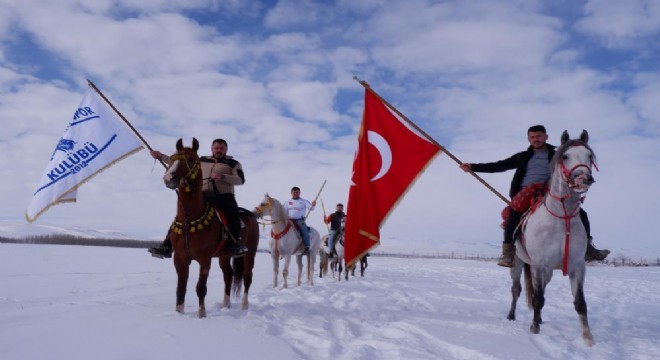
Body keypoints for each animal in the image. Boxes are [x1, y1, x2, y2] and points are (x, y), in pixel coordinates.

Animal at [164, 139, 260, 316]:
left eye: (190, 159)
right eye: (172, 158)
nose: (169, 177)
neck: (189, 218)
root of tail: (251, 215)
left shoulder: (205, 259)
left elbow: (200, 287)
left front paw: (202, 313)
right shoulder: (180, 258)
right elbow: (181, 288)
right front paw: (179, 313)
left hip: (250, 253)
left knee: (247, 277)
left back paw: (244, 305)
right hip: (224, 256)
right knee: (228, 275)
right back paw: (226, 304)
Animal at [508, 130, 596, 346]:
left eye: (589, 155)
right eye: (565, 156)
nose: (583, 178)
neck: (561, 218)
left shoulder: (577, 267)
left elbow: (580, 303)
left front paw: (588, 338)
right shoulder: (540, 264)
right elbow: (537, 299)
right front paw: (534, 329)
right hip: (519, 263)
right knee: (517, 289)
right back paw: (512, 316)